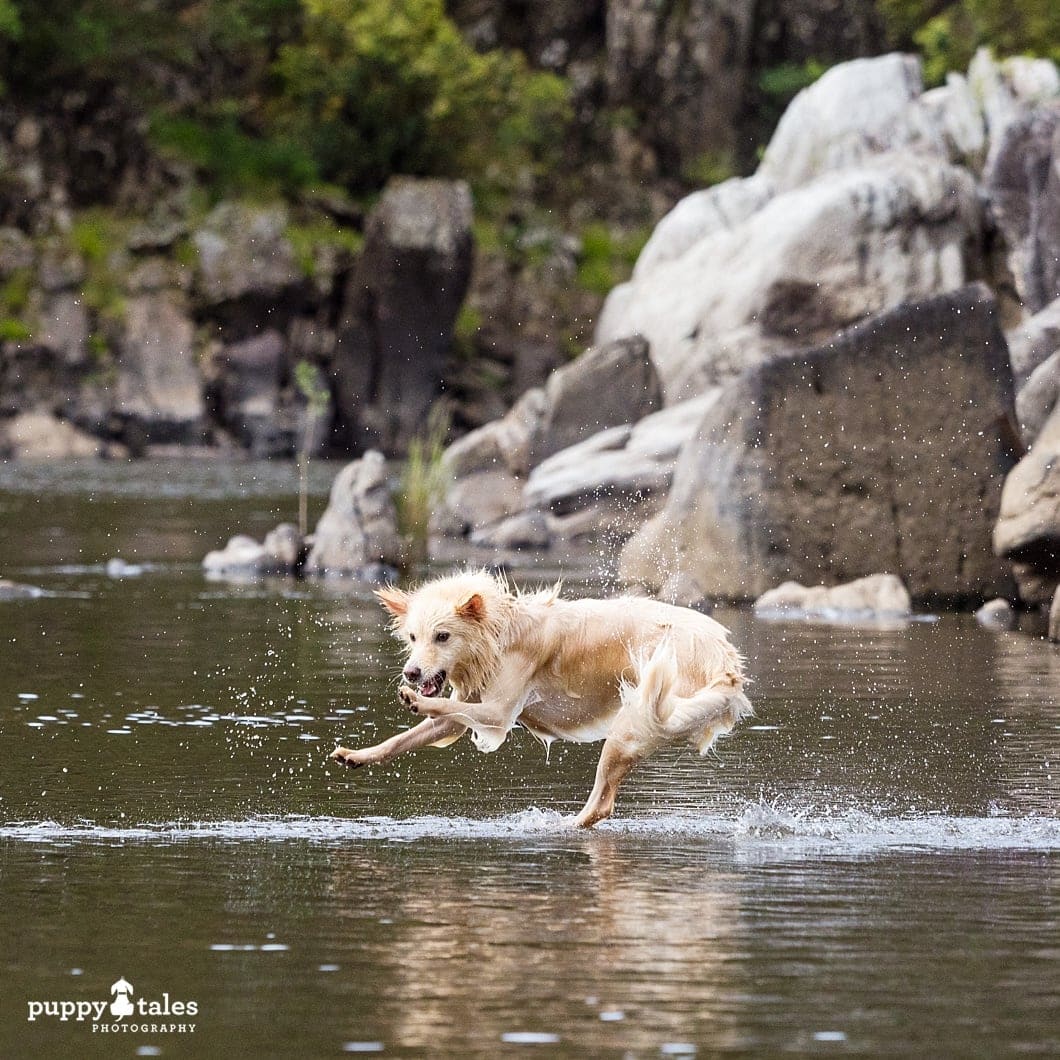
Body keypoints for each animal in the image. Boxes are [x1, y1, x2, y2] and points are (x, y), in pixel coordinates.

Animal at [330, 572, 754, 826]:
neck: (499, 632)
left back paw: (562, 826)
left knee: (601, 804)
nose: (411, 674)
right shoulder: (468, 707)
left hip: (635, 719)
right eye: (413, 637)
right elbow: (403, 738)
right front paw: (357, 756)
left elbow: (448, 706)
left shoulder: (498, 713)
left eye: (443, 637)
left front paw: (415, 701)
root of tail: (726, 660)